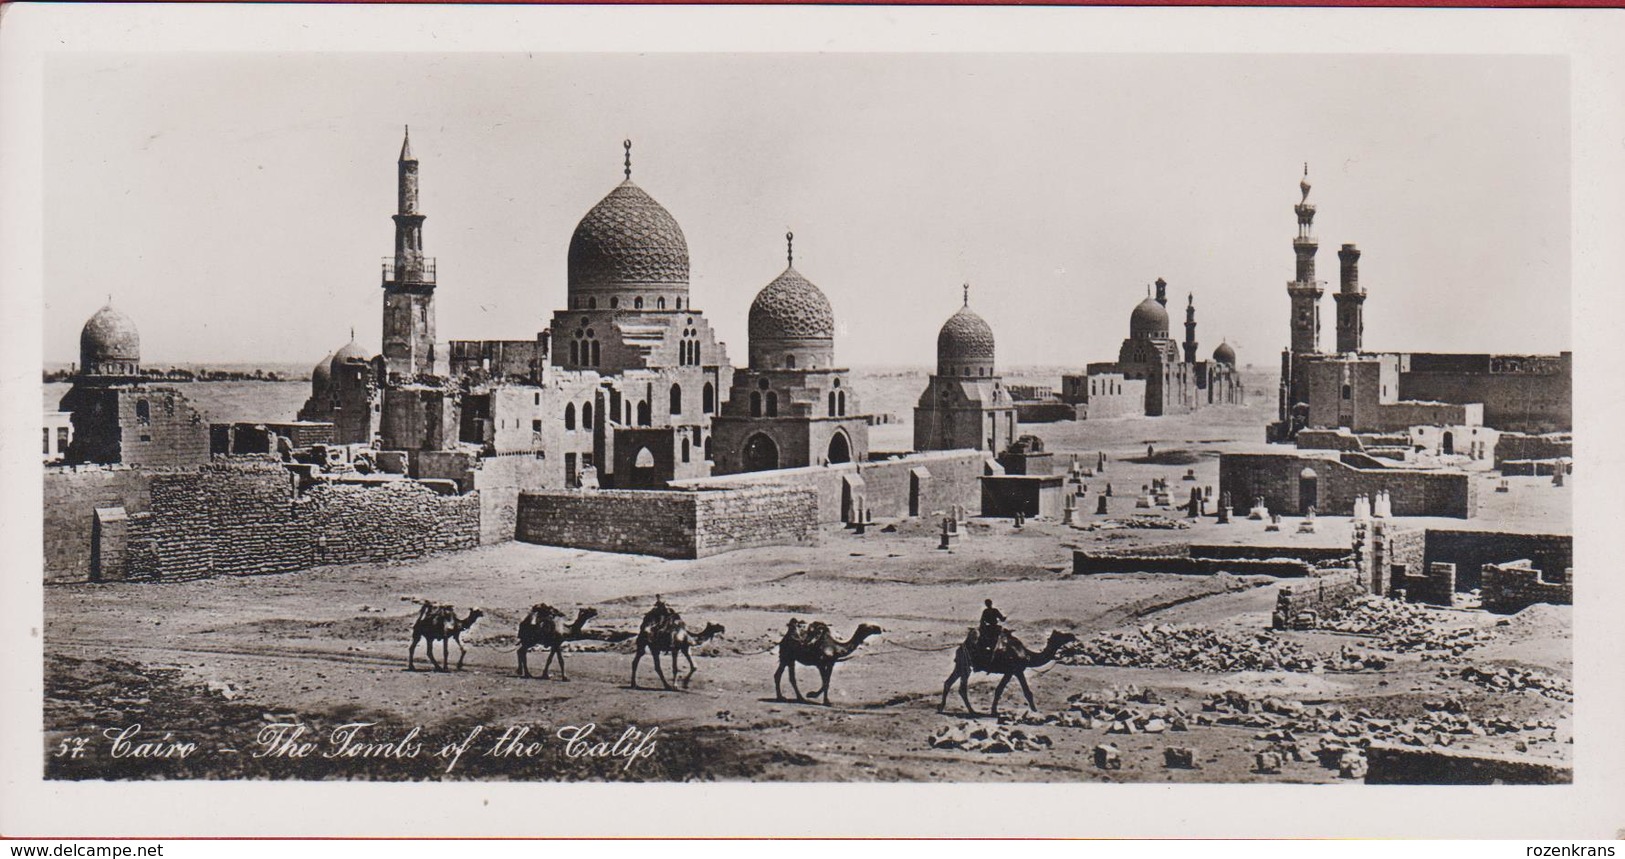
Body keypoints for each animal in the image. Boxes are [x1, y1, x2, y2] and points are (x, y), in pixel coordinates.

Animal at [942, 626, 1079, 714]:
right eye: (1061, 634)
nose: (1073, 636)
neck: (1028, 655)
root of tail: (961, 646)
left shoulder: (1010, 672)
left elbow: (999, 690)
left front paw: (994, 711)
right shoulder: (1016, 670)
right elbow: (1026, 692)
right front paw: (1035, 710)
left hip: (960, 665)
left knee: (948, 683)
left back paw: (941, 708)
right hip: (965, 664)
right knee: (961, 688)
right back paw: (972, 711)